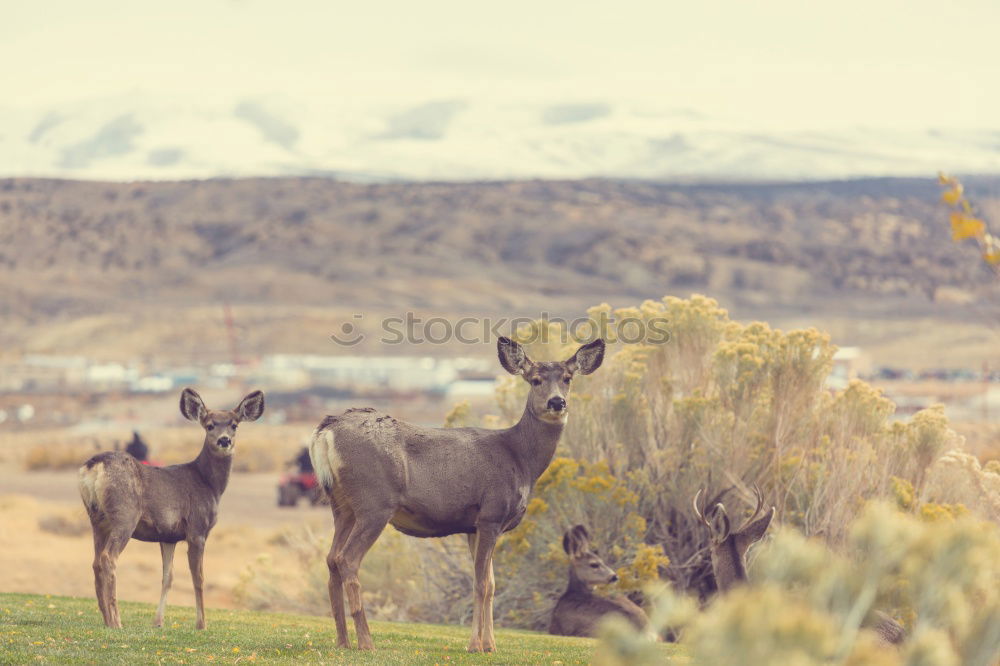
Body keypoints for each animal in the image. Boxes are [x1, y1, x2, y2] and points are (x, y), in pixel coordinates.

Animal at [78, 386, 264, 624]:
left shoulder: (168, 536)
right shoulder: (197, 528)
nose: (224, 441)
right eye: (209, 425)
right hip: (124, 515)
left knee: (95, 562)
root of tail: (94, 466)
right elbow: (198, 577)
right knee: (108, 558)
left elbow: (168, 577)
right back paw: (116, 621)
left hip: (97, 519)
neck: (208, 484)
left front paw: (158, 622)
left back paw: (106, 619)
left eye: (234, 425)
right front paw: (201, 624)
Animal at [308, 338, 604, 648]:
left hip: (341, 505)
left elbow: (491, 584)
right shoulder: (491, 514)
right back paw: (366, 642)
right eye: (535, 380)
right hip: (374, 504)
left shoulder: (474, 526)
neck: (521, 458)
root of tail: (326, 431)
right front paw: (476, 646)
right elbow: (482, 583)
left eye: (568, 378)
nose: (557, 402)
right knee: (348, 559)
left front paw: (490, 645)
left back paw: (343, 641)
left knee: (331, 559)